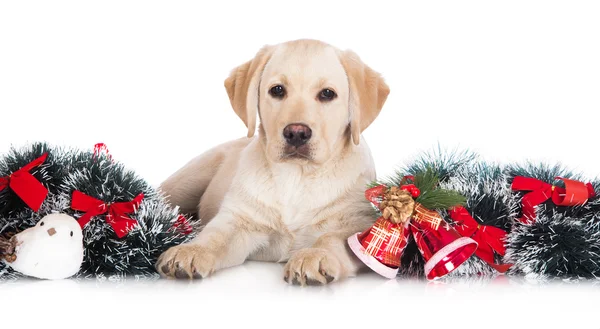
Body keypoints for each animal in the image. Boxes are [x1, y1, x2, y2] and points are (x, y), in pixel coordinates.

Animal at [156, 39, 390, 284]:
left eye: (327, 94)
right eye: (277, 90)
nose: (296, 133)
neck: (297, 176)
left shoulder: (358, 223)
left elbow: (332, 238)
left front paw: (315, 255)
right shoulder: (238, 219)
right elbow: (214, 236)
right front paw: (191, 251)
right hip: (186, 181)